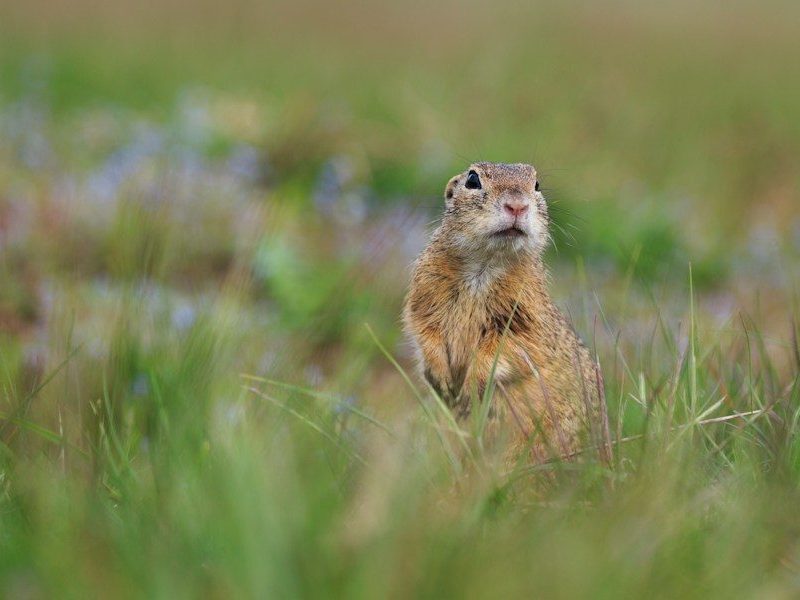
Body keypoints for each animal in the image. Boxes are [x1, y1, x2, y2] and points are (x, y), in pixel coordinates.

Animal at [403, 162, 609, 468]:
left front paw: (470, 388)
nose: (517, 206)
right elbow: (425, 329)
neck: (485, 264)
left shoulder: (526, 313)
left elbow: (511, 347)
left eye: (536, 185)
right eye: (472, 179)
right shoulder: (424, 292)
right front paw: (442, 380)